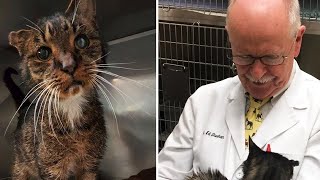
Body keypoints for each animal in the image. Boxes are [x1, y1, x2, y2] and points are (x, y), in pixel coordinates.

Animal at [7, 0, 107, 179]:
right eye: (43, 53)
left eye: (82, 41)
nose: (69, 65)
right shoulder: (51, 169)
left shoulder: (90, 164)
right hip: (20, 166)